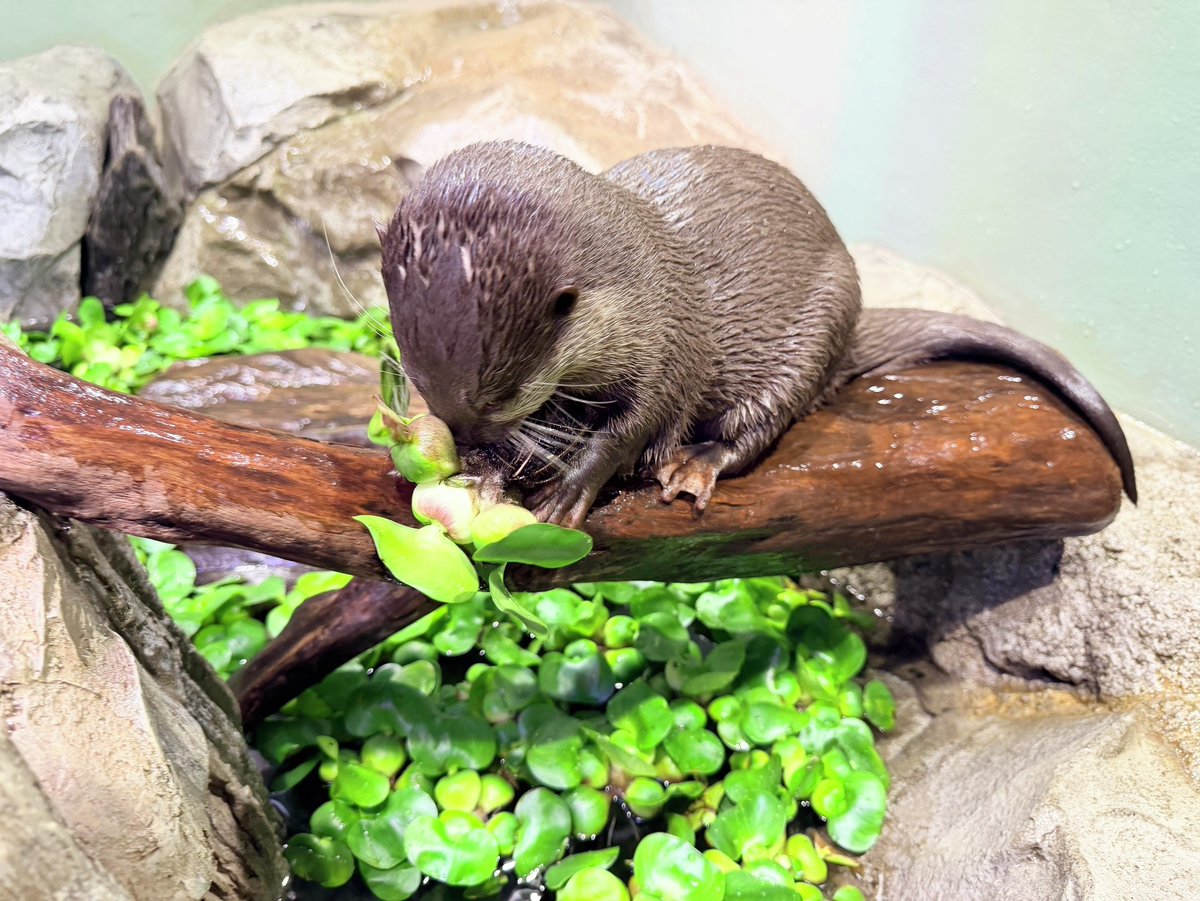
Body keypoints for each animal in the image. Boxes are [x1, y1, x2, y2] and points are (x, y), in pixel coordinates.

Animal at [379, 141, 1136, 529]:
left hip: (816, 333)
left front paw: (572, 485)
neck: (642, 289)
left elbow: (633, 427)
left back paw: (697, 464)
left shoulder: (670, 350)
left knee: (761, 427)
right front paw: (484, 473)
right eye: (420, 383)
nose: (466, 438)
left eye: (501, 393)